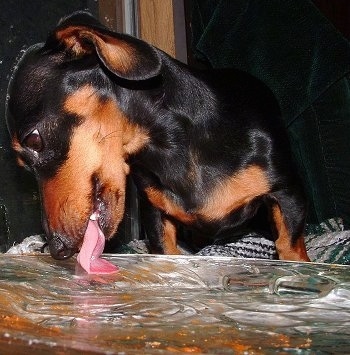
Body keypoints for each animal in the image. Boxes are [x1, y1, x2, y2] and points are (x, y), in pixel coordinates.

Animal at [6, 9, 308, 268]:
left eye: (34, 141)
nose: (57, 249)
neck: (171, 152)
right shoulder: (155, 215)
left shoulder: (287, 193)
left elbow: (290, 245)